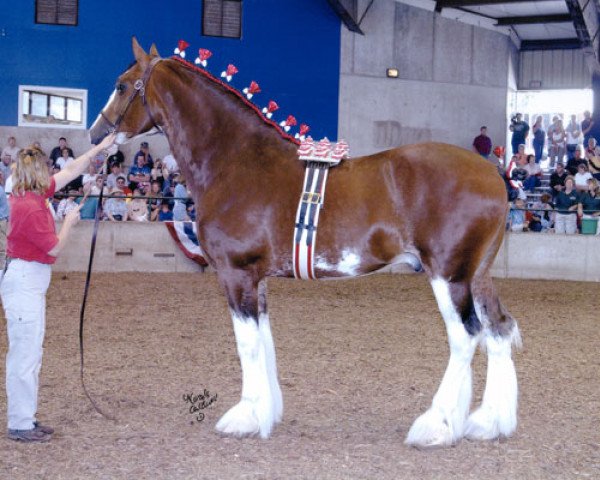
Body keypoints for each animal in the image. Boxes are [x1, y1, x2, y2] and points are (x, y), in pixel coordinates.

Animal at [89, 39, 520, 448]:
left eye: (122, 85)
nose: (96, 134)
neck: (236, 162)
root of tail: (494, 175)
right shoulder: (257, 279)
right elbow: (264, 342)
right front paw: (266, 413)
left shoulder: (235, 274)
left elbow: (247, 345)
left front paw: (244, 417)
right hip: (476, 275)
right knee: (498, 329)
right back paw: (487, 423)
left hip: (448, 274)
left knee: (466, 337)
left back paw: (436, 425)